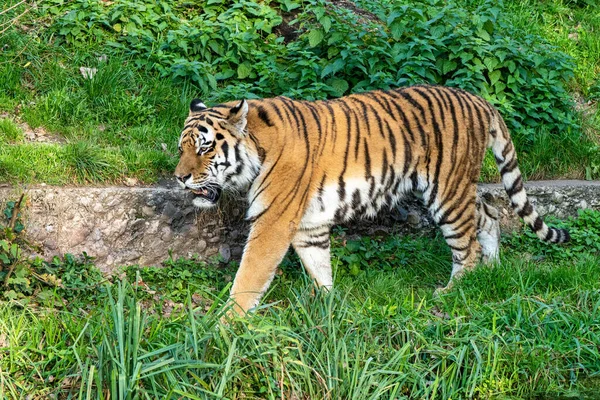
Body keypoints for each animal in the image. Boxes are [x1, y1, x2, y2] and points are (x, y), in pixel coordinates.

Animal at [173, 85, 568, 316]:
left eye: (205, 148)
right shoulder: (308, 225)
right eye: (181, 148)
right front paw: (328, 306)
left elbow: (250, 275)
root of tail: (479, 99)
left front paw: (225, 325)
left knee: (466, 246)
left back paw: (453, 291)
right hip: (455, 190)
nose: (180, 177)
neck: (256, 149)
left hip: (446, 191)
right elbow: (319, 267)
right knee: (489, 212)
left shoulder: (274, 221)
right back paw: (492, 269)